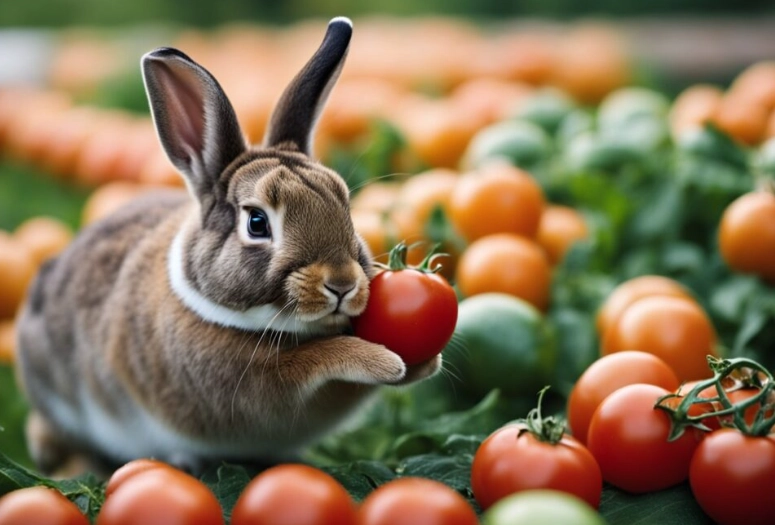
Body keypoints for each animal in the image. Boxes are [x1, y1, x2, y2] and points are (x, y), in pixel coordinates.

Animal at [15, 16, 441, 478]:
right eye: (257, 222)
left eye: (345, 204)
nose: (342, 284)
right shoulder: (258, 381)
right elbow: (315, 358)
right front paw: (382, 361)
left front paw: (421, 363)